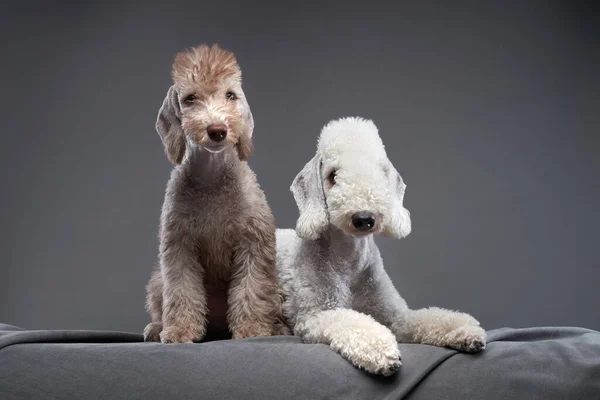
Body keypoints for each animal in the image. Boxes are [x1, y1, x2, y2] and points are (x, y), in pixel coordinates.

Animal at [144, 44, 288, 344]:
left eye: (230, 95)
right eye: (190, 98)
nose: (217, 130)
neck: (212, 176)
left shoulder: (253, 241)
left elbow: (250, 288)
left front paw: (252, 330)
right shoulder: (179, 244)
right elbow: (182, 290)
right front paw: (180, 330)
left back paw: (277, 328)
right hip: (157, 280)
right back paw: (156, 328)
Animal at [276, 116, 488, 376]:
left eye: (381, 173)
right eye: (333, 175)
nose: (364, 218)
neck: (348, 261)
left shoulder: (394, 314)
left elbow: (424, 318)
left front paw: (465, 330)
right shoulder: (314, 315)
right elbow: (351, 323)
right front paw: (381, 352)